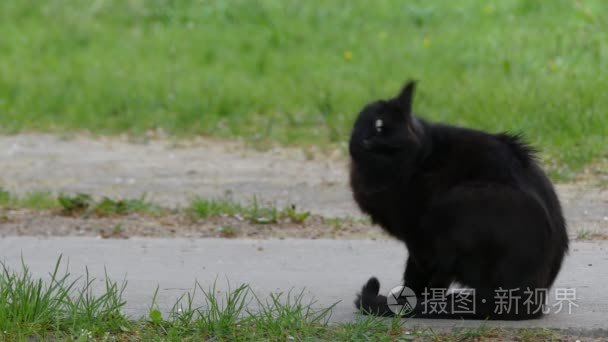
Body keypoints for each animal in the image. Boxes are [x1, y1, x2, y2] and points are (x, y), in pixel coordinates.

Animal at [350, 81, 568, 320]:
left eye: (381, 128)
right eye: (370, 126)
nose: (370, 141)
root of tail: (529, 301)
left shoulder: (418, 237)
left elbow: (420, 273)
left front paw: (410, 300)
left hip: (457, 202)